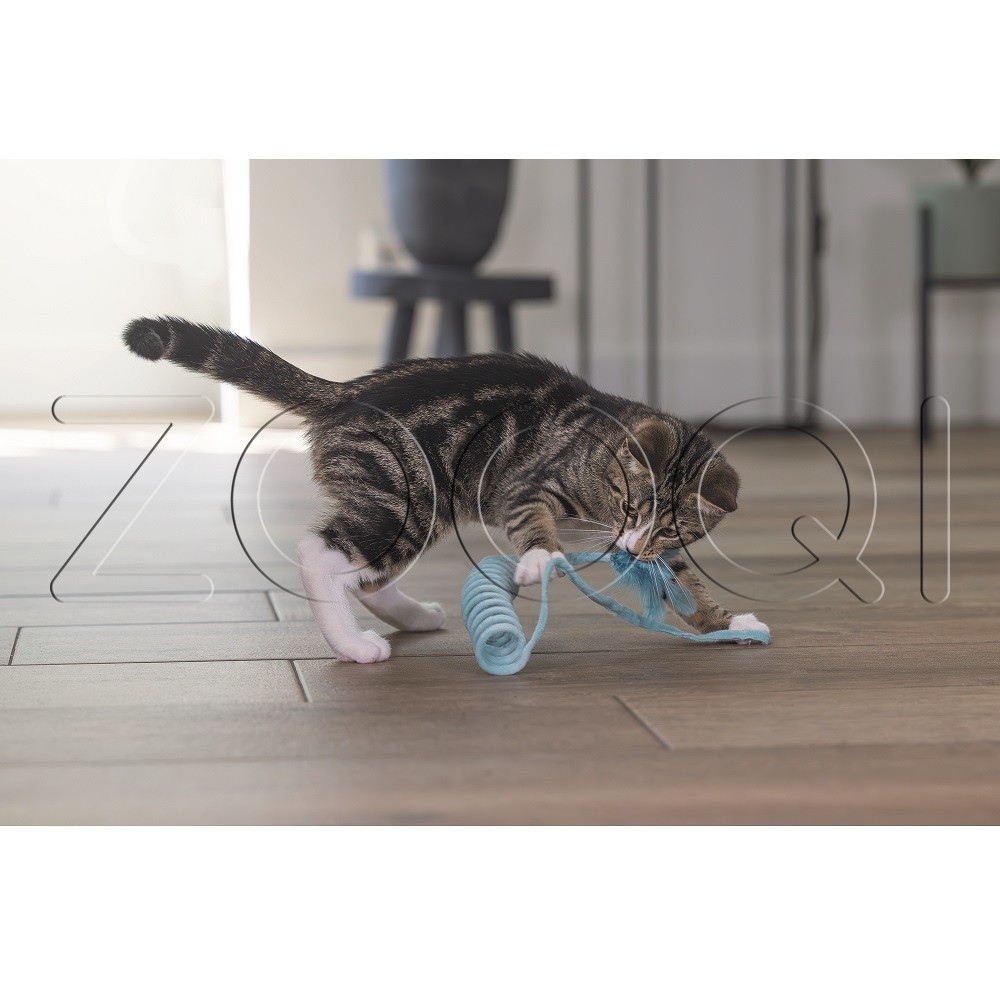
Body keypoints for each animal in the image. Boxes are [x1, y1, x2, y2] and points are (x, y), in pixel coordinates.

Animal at [123, 316, 768, 662]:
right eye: (626, 502)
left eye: (669, 525)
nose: (630, 545)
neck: (604, 442)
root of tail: (345, 392)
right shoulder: (529, 484)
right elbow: (534, 522)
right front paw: (541, 560)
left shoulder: (662, 552)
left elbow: (686, 587)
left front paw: (729, 623)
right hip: (405, 498)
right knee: (321, 556)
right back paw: (355, 646)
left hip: (421, 509)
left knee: (367, 575)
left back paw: (408, 616)